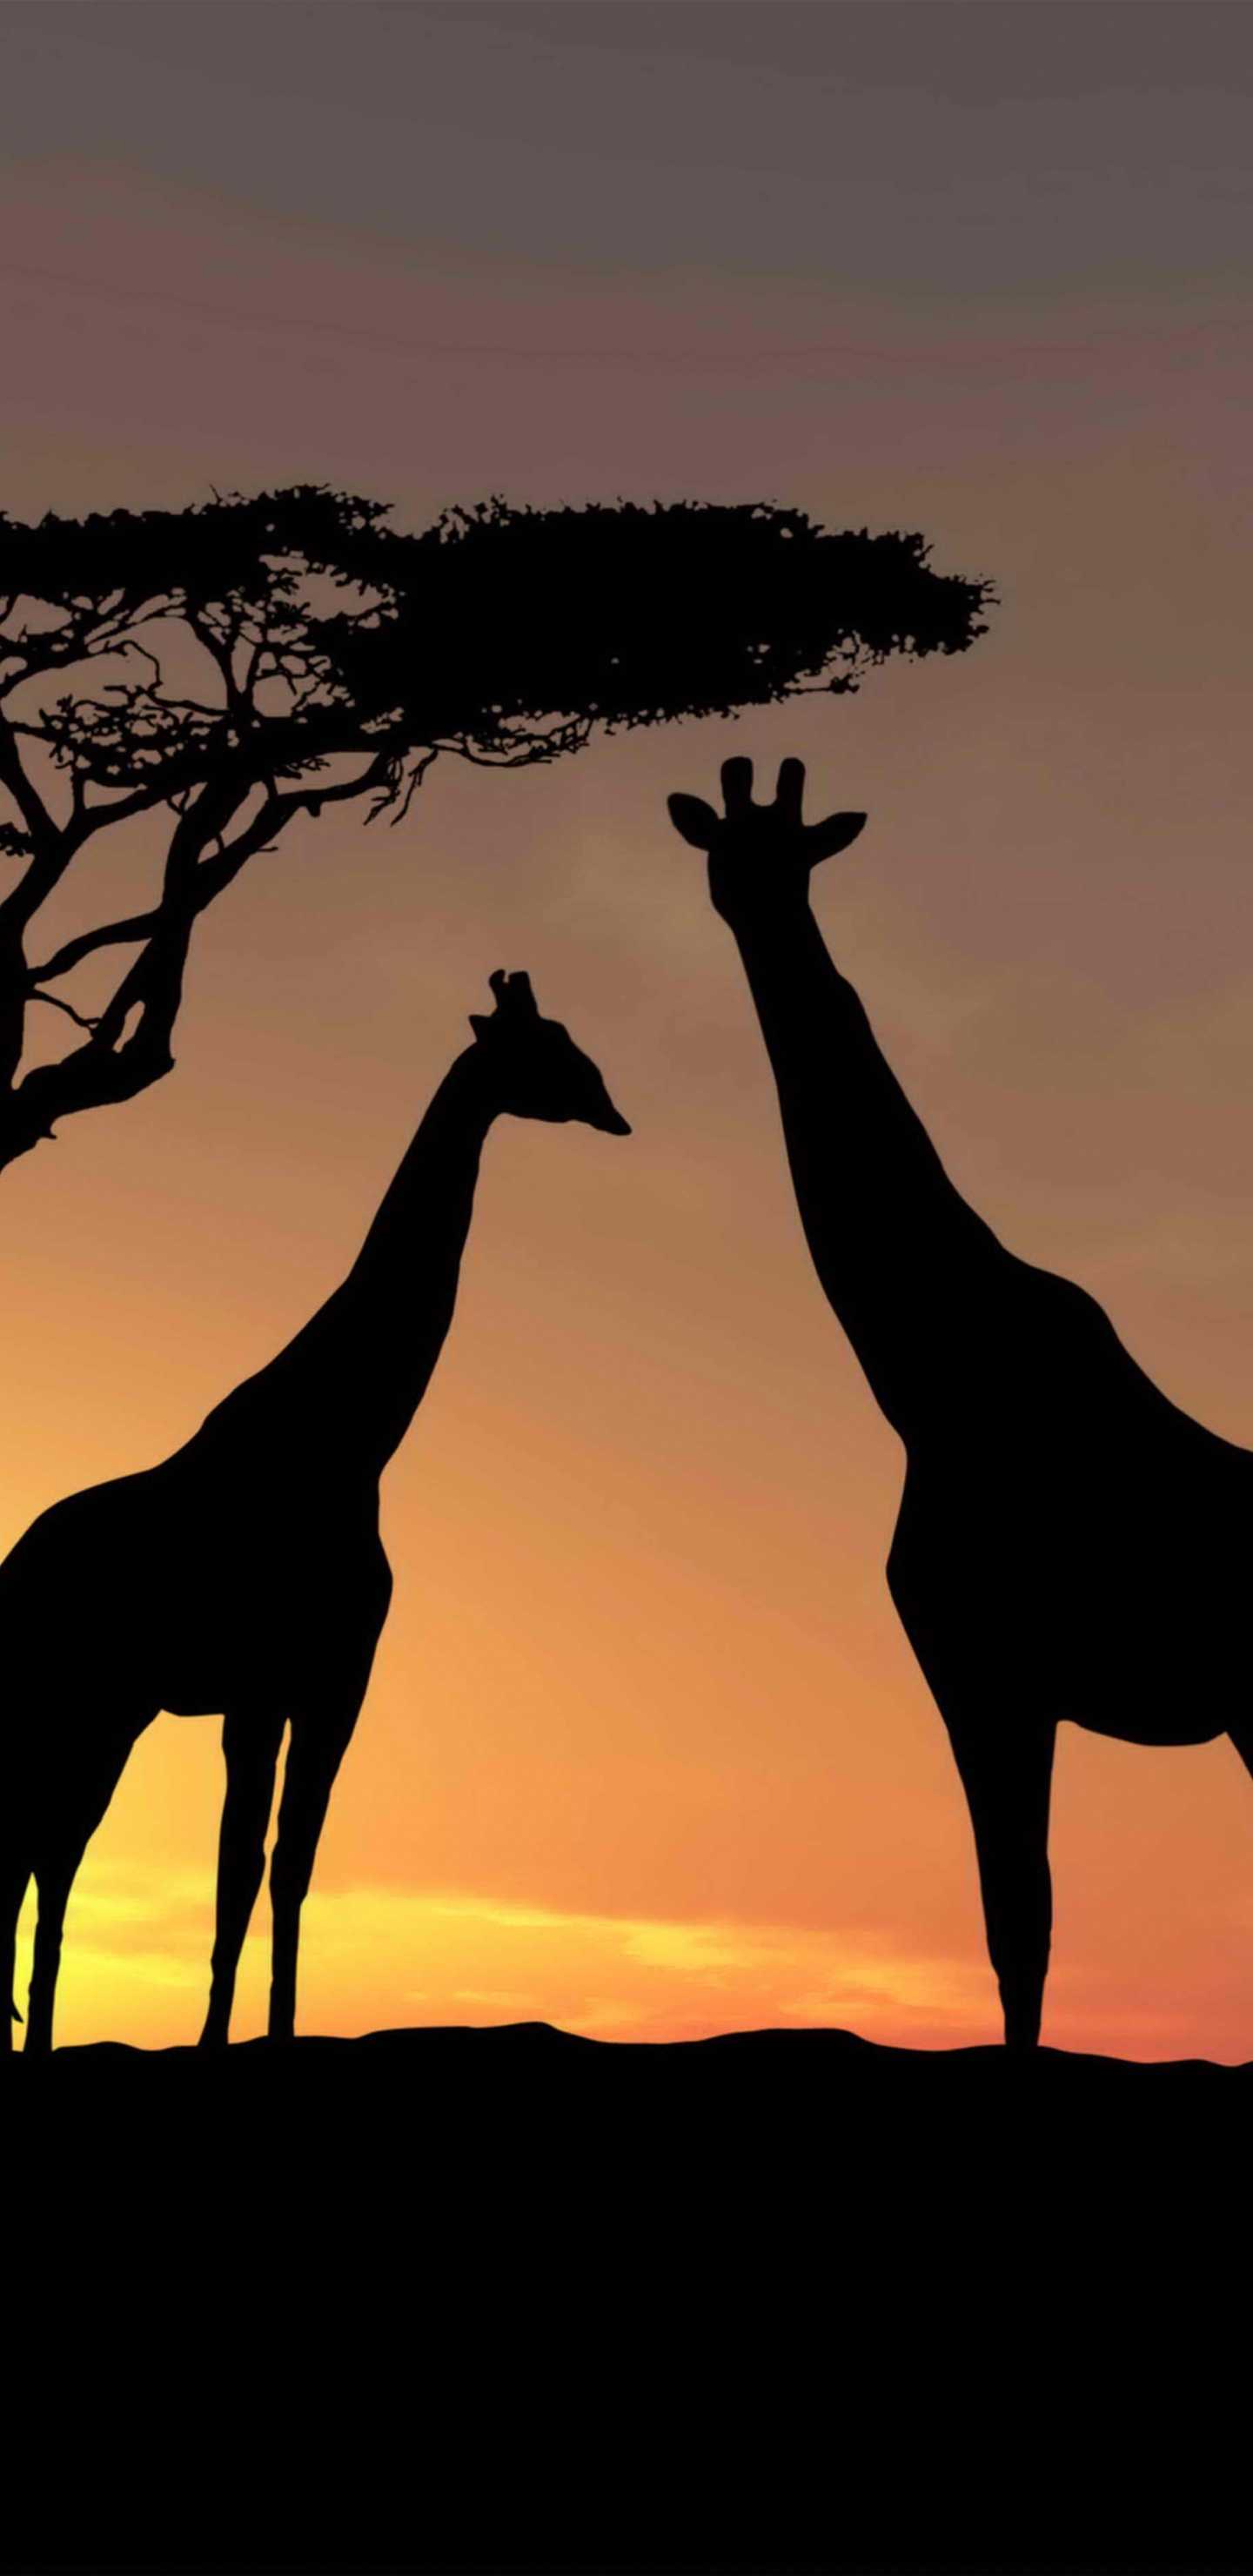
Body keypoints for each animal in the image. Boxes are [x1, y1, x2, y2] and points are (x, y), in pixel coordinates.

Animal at [2, 970, 630, 2056]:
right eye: (547, 1047)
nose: (614, 1109)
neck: (349, 1443)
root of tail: (14, 1560)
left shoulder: (335, 1680)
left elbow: (292, 1861)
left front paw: (278, 2031)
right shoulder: (261, 1684)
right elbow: (238, 1864)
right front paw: (216, 2040)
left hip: (110, 1706)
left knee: (38, 1846)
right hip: (77, 1694)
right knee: (46, 1846)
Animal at [669, 755, 1253, 2049]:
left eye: (798, 858)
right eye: (722, 851)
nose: (751, 908)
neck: (931, 1378)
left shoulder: (991, 1666)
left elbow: (1019, 1921)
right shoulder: (975, 1668)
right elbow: (1011, 1922)